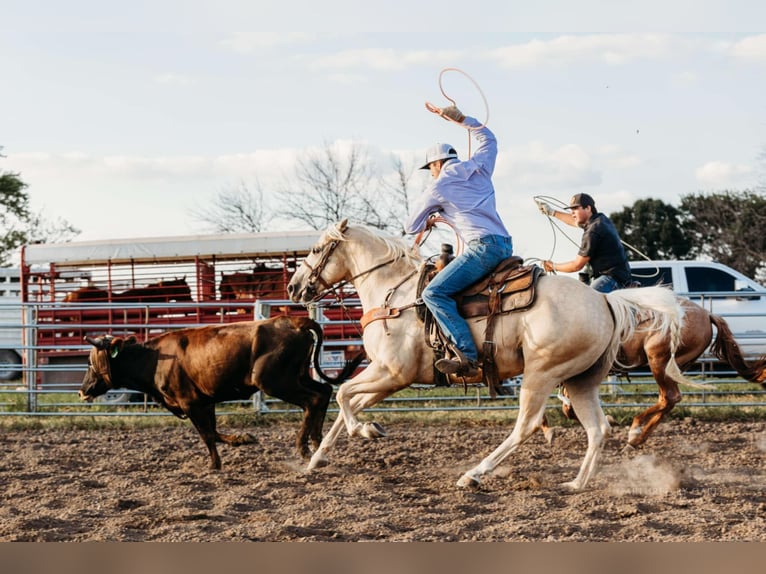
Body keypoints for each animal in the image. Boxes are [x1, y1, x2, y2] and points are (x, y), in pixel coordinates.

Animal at [544, 302, 766, 450]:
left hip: (658, 360)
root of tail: (707, 314)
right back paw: (636, 439)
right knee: (668, 399)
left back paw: (634, 431)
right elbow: (568, 409)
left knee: (669, 397)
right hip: (671, 367)